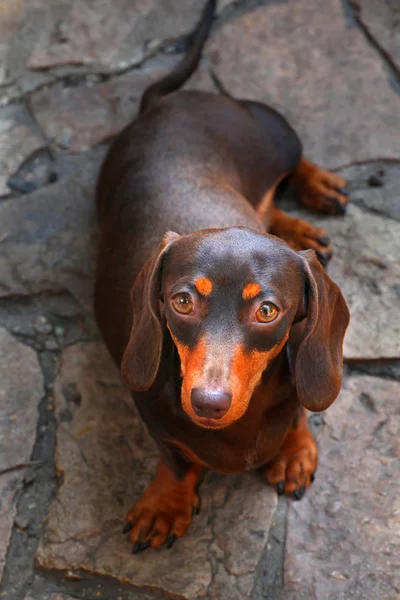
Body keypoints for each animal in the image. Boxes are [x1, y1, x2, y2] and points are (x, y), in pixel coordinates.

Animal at [94, 0, 350, 552]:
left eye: (268, 310)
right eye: (182, 302)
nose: (207, 404)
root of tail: (164, 104)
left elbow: (298, 413)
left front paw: (294, 451)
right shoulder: (151, 413)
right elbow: (175, 458)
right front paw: (166, 503)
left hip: (267, 130)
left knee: (293, 156)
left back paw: (317, 188)